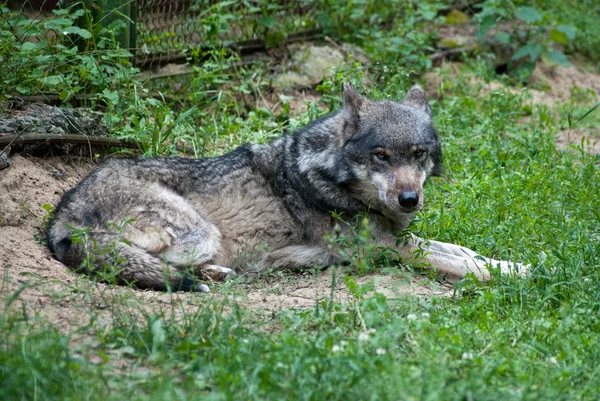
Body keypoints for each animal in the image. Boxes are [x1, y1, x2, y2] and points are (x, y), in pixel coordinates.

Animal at [47, 84, 528, 290]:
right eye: (381, 156)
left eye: (418, 154)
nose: (409, 199)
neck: (328, 176)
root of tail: (59, 218)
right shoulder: (387, 249)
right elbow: (464, 265)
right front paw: (523, 275)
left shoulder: (401, 237)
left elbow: (463, 251)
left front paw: (519, 262)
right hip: (201, 231)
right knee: (153, 264)